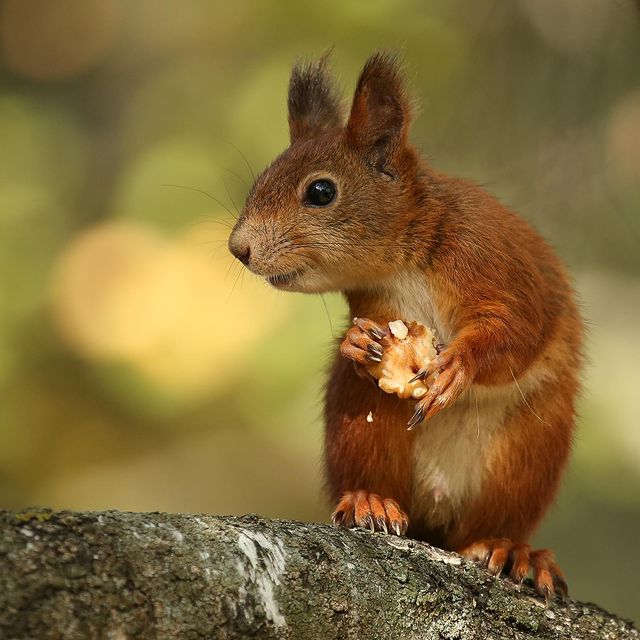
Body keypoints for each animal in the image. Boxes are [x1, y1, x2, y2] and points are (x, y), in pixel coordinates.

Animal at [228, 52, 583, 601]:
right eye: (260, 180)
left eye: (321, 192)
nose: (238, 248)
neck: (405, 259)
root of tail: (435, 508)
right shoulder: (373, 301)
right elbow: (363, 332)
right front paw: (356, 341)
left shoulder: (498, 265)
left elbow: (516, 331)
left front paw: (458, 366)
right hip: (359, 419)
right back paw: (369, 500)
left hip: (529, 449)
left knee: (492, 523)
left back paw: (511, 549)